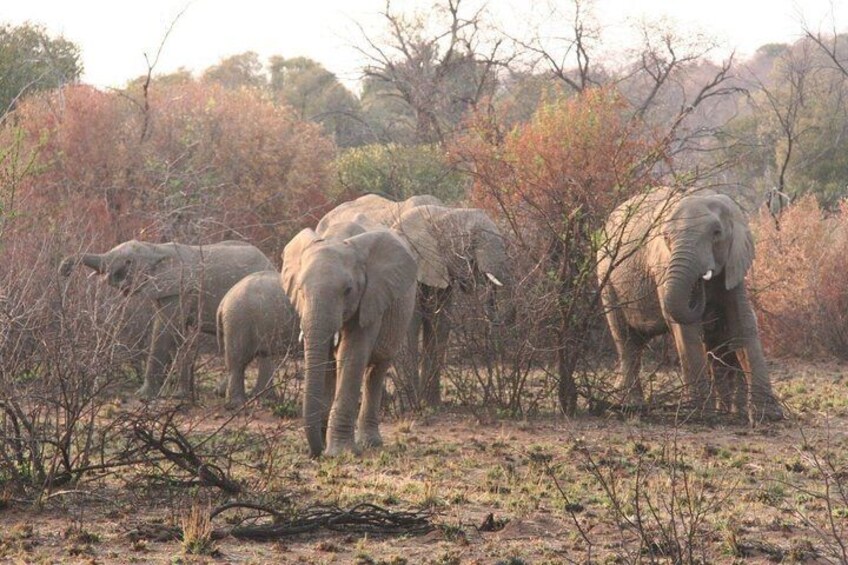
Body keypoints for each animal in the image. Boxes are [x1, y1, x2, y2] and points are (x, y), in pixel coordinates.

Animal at [59, 240, 274, 398]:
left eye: (128, 262)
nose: (64, 270)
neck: (155, 248)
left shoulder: (179, 290)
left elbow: (164, 331)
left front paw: (143, 396)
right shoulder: (166, 291)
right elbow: (174, 334)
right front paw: (176, 393)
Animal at [282, 220, 418, 457]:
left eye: (347, 290)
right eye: (300, 290)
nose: (316, 453)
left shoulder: (371, 295)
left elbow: (351, 354)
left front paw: (340, 453)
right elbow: (327, 357)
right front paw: (325, 446)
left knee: (377, 369)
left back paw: (370, 443)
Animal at [596, 186, 783, 423]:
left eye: (716, 233)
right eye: (666, 237)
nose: (700, 287)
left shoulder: (734, 263)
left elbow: (743, 322)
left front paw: (768, 416)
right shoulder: (663, 264)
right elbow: (685, 327)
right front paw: (697, 414)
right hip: (606, 279)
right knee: (626, 339)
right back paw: (631, 408)